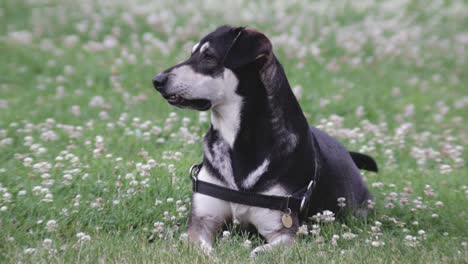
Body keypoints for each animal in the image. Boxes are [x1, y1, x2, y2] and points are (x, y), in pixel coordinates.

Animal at [154, 25, 376, 256]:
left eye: (208, 56)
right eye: (192, 54)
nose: (157, 80)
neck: (236, 140)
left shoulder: (283, 230)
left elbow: (259, 251)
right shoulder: (202, 221)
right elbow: (203, 248)